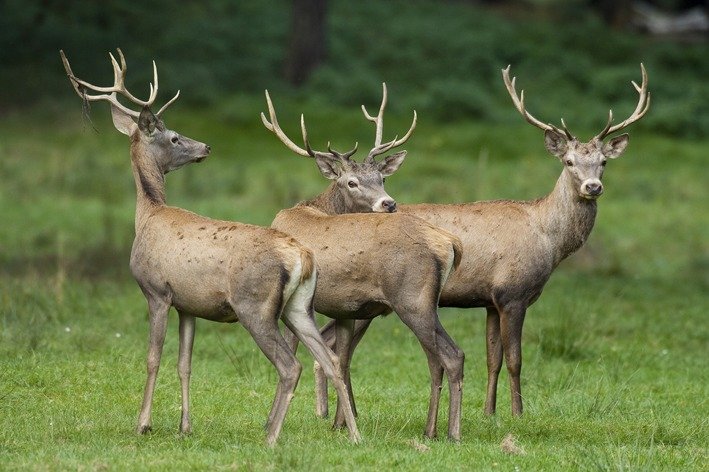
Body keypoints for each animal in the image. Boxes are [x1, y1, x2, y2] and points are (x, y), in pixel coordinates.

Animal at [59, 49, 360, 444]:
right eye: (174, 137)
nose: (206, 146)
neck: (148, 215)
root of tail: (302, 256)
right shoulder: (189, 305)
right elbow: (184, 363)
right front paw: (185, 426)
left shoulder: (156, 291)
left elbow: (152, 358)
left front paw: (143, 423)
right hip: (299, 306)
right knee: (332, 359)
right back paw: (354, 435)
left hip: (255, 306)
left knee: (290, 365)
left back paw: (271, 437)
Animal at [258, 84, 464, 438]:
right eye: (352, 182)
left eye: (382, 179)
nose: (389, 203)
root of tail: (448, 242)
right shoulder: (347, 309)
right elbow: (342, 359)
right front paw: (342, 422)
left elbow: (298, 351)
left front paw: (270, 421)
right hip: (419, 302)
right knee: (446, 357)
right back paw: (439, 429)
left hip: (413, 299)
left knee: (447, 357)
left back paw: (443, 432)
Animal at [312, 64, 648, 418]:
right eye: (569, 162)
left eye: (604, 162)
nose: (593, 187)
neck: (548, 240)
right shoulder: (513, 293)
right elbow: (515, 359)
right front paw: (518, 413)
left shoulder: (490, 300)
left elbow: (493, 359)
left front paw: (489, 412)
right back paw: (327, 413)